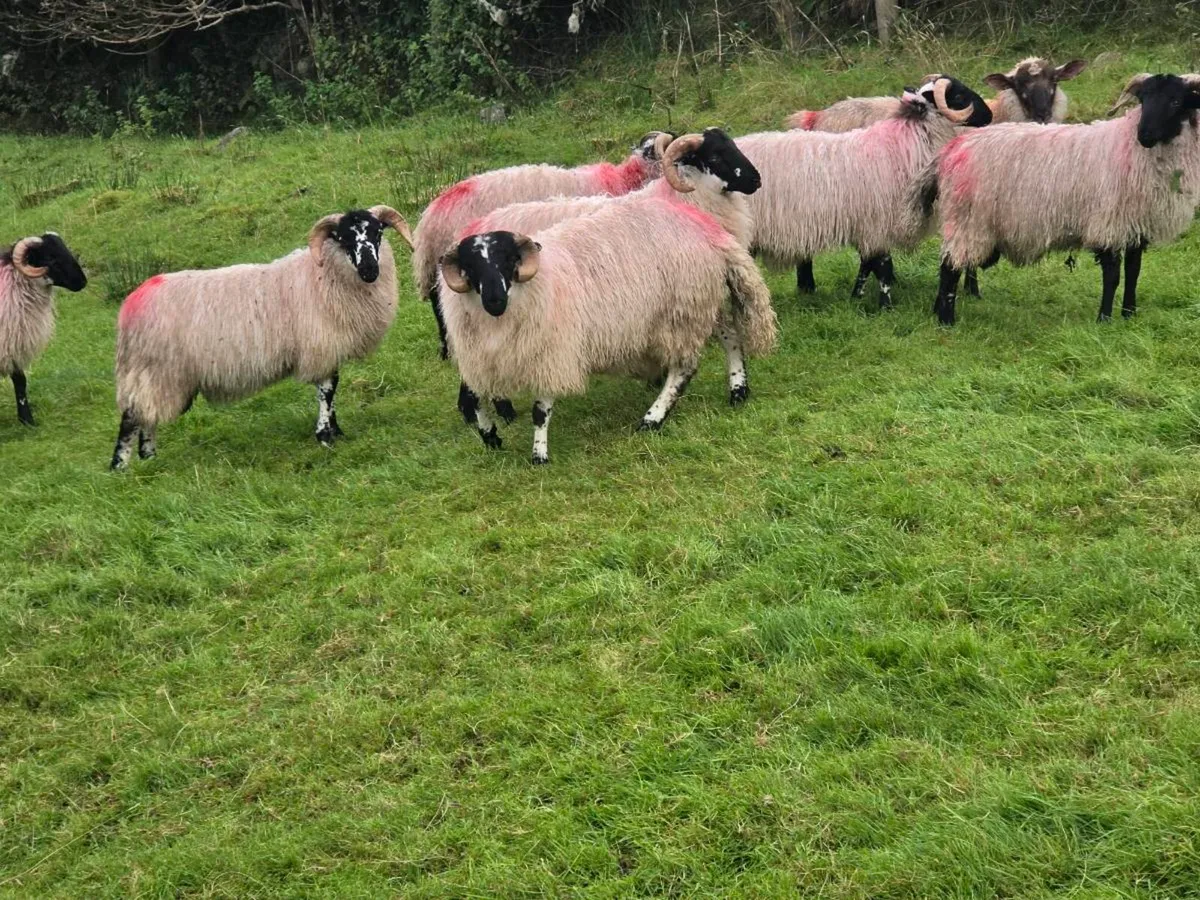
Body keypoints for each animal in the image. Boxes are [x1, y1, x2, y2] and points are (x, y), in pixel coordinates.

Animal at [0, 233, 87, 426]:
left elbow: (20, 382)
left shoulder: (14, 345)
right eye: (50, 259)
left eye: (65, 250)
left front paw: (27, 421)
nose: (82, 282)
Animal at [110, 206, 410, 469]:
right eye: (343, 237)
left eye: (377, 232)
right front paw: (325, 436)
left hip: (157, 375)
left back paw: (149, 460)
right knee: (131, 418)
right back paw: (122, 467)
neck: (322, 275)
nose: (370, 270)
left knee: (147, 416)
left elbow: (333, 389)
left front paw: (335, 431)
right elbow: (327, 390)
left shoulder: (328, 349)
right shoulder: (320, 347)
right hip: (154, 368)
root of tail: (132, 303)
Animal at [437, 201, 777, 464]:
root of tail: (709, 229)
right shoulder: (481, 358)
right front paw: (489, 436)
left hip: (681, 311)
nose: (494, 300)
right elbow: (474, 397)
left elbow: (540, 411)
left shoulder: (553, 352)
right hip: (699, 303)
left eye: (509, 260)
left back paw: (652, 419)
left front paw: (539, 455)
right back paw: (738, 390)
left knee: (685, 368)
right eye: (470, 267)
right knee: (731, 336)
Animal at [739, 77, 992, 308]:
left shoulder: (870, 226)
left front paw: (857, 296)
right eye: (958, 96)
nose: (989, 115)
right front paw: (885, 305)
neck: (906, 144)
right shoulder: (877, 222)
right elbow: (882, 265)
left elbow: (869, 263)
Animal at [922, 73, 1200, 326]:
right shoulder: (1107, 224)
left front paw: (1129, 314)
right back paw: (946, 320)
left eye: (1176, 101)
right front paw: (1104, 319)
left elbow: (1133, 272)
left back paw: (937, 310)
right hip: (967, 220)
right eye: (1143, 98)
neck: (1131, 148)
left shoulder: (1136, 226)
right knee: (950, 267)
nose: (1144, 135)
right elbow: (1112, 276)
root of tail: (953, 149)